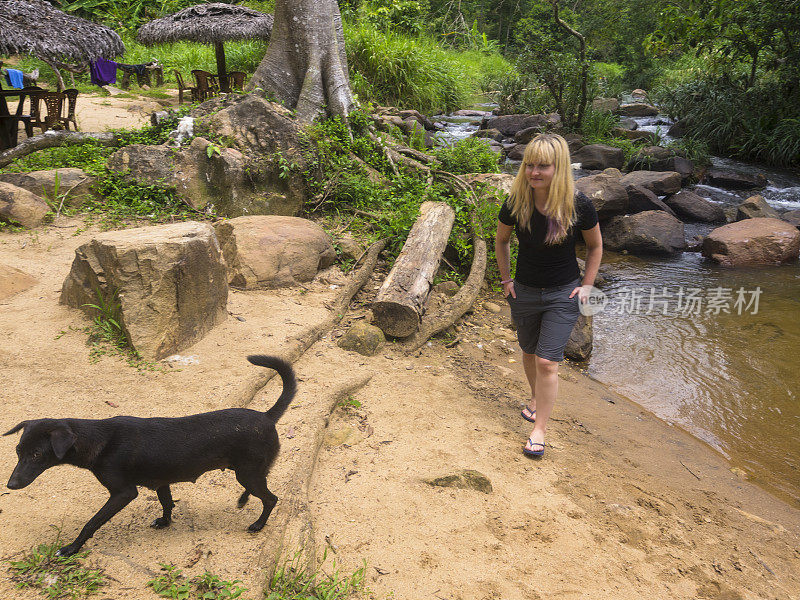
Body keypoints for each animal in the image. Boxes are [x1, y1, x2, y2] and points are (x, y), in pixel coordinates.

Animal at [3, 354, 296, 556]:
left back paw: (258, 524)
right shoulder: (161, 481)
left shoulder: (123, 493)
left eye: (37, 454)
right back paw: (243, 501)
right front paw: (165, 522)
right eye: (18, 451)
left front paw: (71, 548)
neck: (100, 440)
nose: (10, 484)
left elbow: (91, 523)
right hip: (248, 472)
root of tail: (267, 416)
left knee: (271, 498)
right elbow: (167, 503)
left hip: (248, 473)